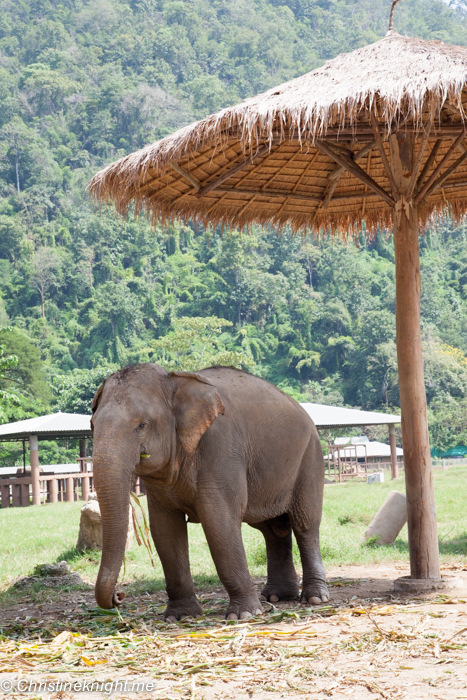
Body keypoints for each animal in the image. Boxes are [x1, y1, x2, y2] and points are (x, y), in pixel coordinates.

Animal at [91, 364, 330, 620]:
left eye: (142, 425)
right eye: (92, 424)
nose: (119, 596)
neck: (175, 380)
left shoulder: (221, 450)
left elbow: (219, 522)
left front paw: (243, 615)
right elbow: (165, 530)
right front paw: (180, 616)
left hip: (311, 458)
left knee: (305, 524)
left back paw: (315, 598)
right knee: (272, 529)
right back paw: (276, 597)